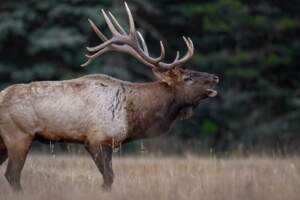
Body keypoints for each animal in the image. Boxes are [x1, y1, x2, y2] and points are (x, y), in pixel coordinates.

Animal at [1, 2, 219, 191]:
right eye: (188, 78)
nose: (215, 77)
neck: (134, 115)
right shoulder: (97, 139)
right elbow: (108, 178)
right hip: (18, 136)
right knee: (12, 175)